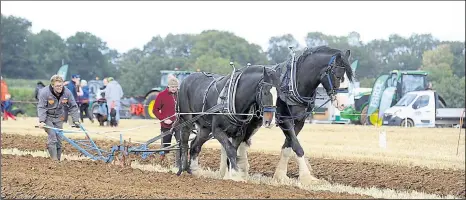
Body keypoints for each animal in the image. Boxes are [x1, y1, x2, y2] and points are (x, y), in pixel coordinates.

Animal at [218, 45, 354, 184]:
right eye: (337, 76)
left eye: (349, 78)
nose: (343, 104)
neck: (294, 83)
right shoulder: (285, 120)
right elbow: (297, 146)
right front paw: (306, 177)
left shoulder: (299, 121)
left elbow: (289, 145)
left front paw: (281, 175)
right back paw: (230, 172)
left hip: (253, 121)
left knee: (241, 141)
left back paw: (236, 170)